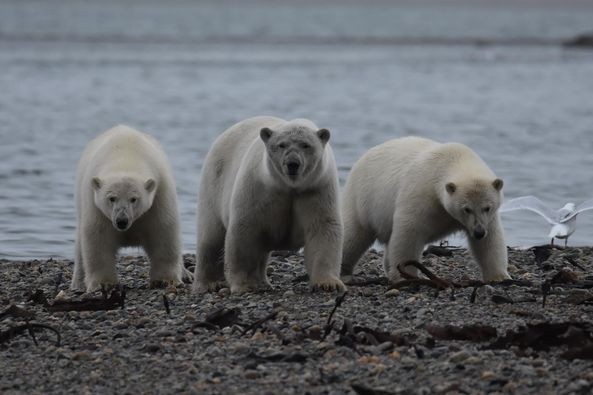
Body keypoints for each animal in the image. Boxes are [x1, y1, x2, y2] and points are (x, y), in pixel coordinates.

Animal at [71, 125, 184, 292]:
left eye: (133, 199)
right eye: (112, 198)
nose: (122, 221)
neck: (126, 156)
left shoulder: (160, 193)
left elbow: (163, 231)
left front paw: (164, 280)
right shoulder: (95, 204)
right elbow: (98, 237)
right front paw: (104, 284)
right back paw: (78, 283)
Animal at [192, 116, 344, 296]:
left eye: (306, 145)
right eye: (282, 145)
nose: (292, 163)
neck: (289, 186)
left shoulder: (316, 189)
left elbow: (323, 230)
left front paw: (328, 284)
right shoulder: (259, 189)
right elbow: (245, 231)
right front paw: (245, 285)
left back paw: (262, 282)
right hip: (214, 185)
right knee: (211, 237)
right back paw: (208, 283)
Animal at [340, 138, 512, 284]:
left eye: (487, 207)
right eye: (467, 209)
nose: (478, 232)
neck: (452, 159)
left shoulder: (488, 218)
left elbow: (491, 241)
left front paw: (499, 276)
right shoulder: (422, 192)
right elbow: (409, 233)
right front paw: (407, 275)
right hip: (362, 197)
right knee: (353, 235)